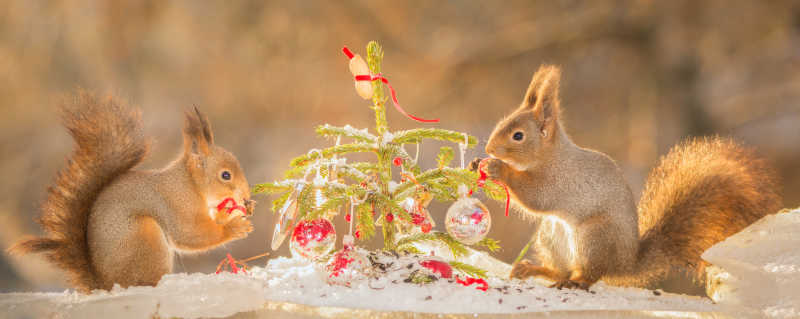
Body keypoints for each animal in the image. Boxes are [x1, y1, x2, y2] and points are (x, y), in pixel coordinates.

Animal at [7, 92, 255, 292]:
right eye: (225, 175)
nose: (246, 197)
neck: (190, 183)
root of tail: (106, 284)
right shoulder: (177, 205)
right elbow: (191, 234)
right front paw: (235, 227)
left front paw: (240, 212)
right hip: (145, 236)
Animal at [468, 66, 780, 292]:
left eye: (518, 136)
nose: (489, 149)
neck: (552, 155)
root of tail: (626, 263)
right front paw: (474, 164)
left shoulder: (560, 181)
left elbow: (534, 196)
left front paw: (497, 168)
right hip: (550, 236)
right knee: (562, 269)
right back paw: (533, 269)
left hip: (593, 237)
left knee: (591, 273)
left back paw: (576, 282)